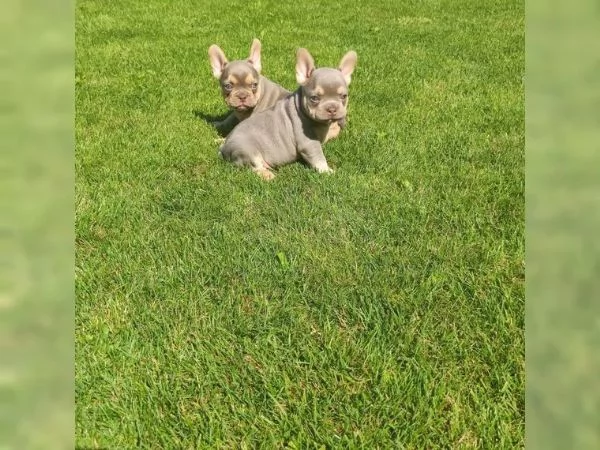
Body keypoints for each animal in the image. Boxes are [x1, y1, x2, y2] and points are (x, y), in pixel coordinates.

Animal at [219, 48, 356, 180]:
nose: (332, 108)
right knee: (254, 166)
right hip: (247, 150)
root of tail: (224, 147)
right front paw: (327, 171)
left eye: (344, 96)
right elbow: (318, 158)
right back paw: (267, 174)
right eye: (314, 98)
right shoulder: (309, 143)